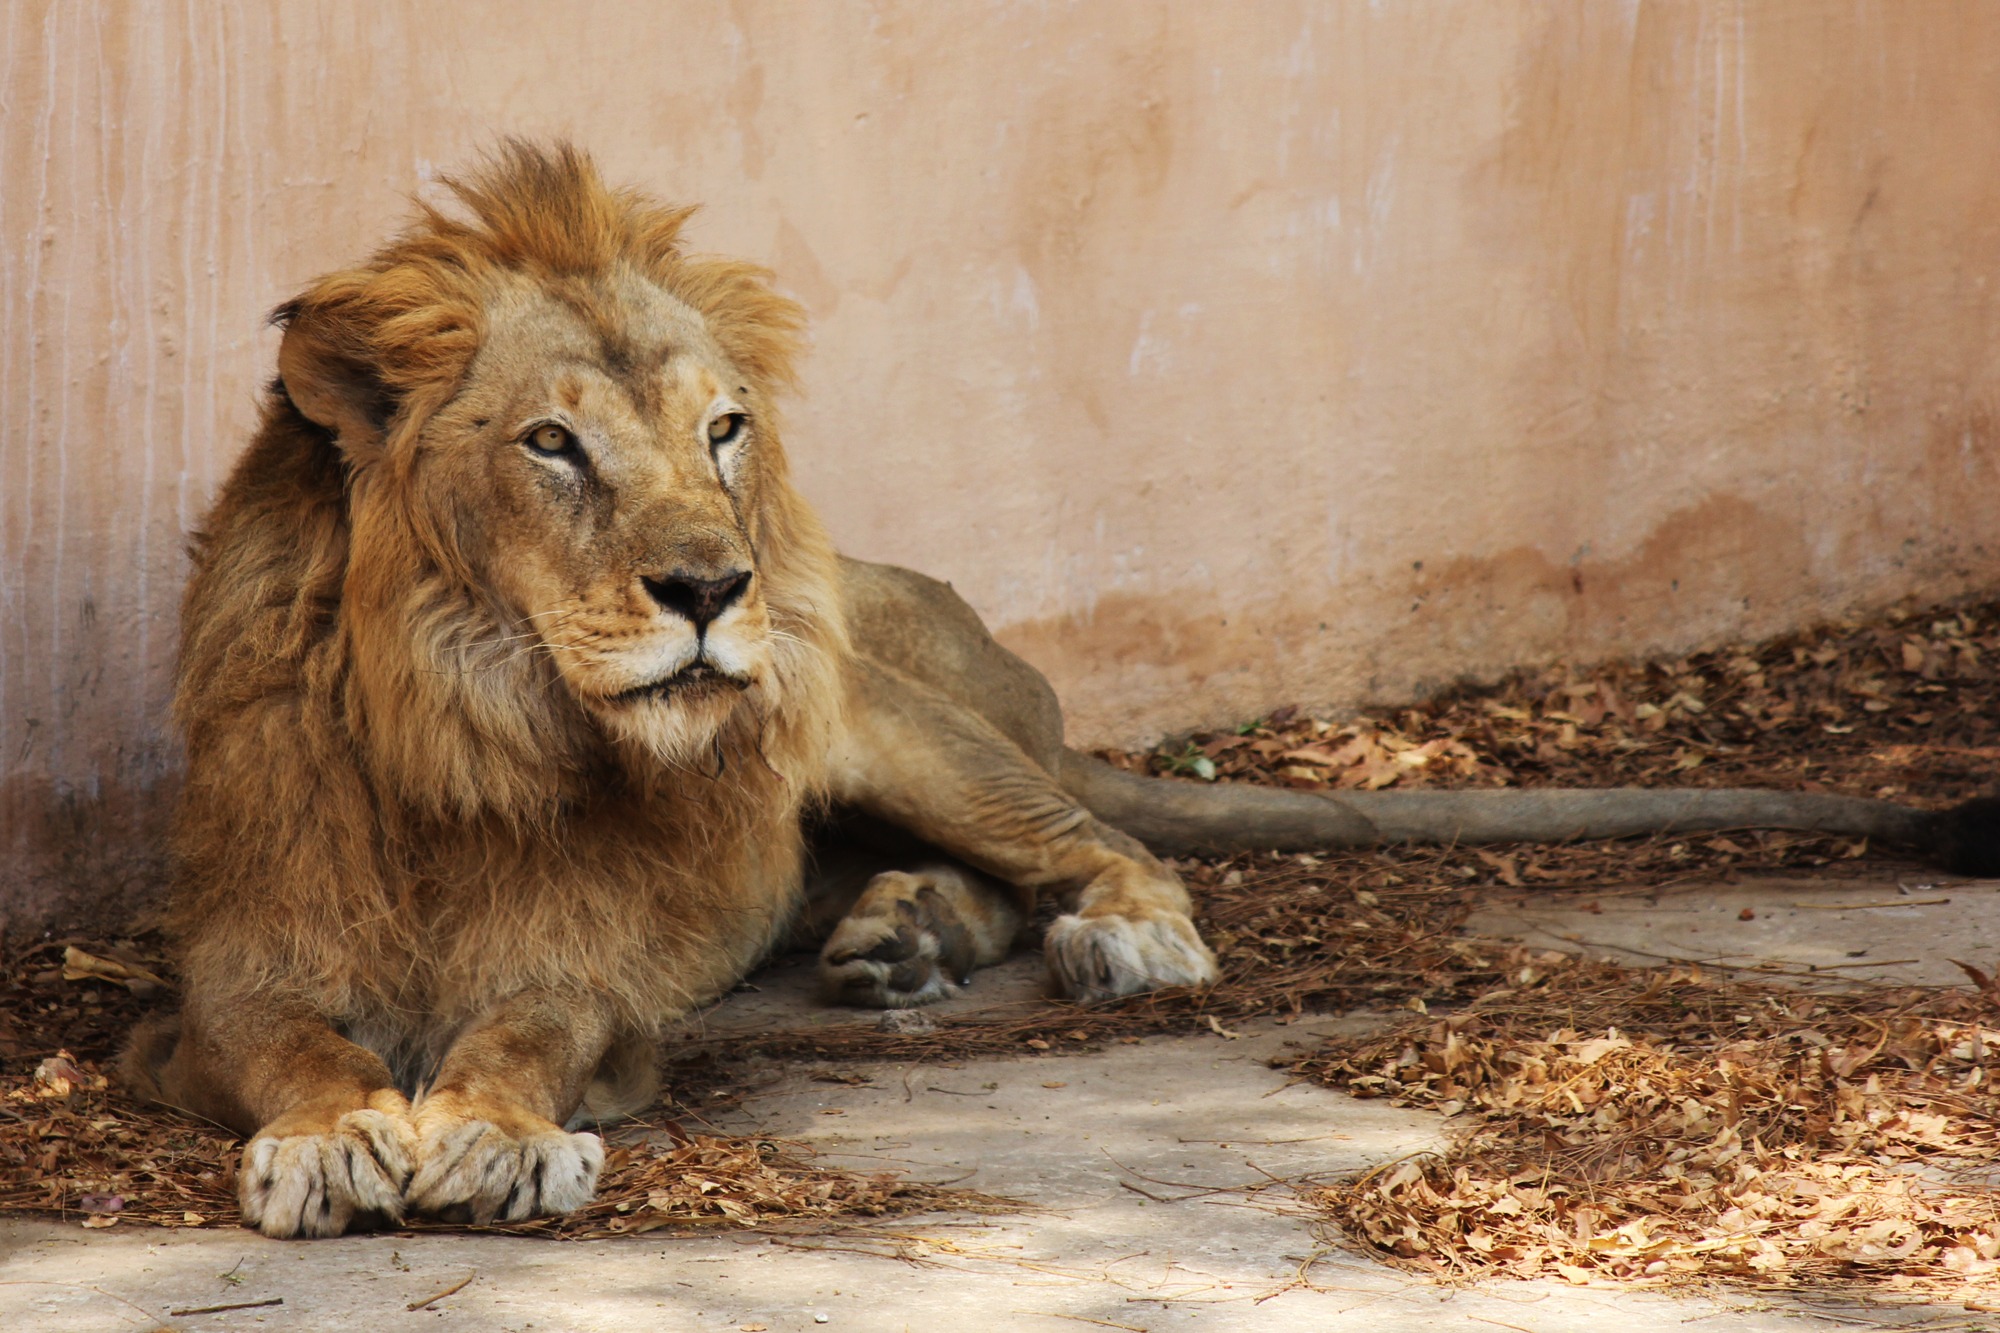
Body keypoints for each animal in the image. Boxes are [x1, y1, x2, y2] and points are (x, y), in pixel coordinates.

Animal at [129, 143, 1984, 1232]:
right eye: (552, 444)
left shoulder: (600, 974)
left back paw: (1106, 939)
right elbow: (295, 1042)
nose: (715, 588)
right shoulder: (235, 965)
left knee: (1094, 847)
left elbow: (529, 1027)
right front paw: (333, 1135)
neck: (476, 731)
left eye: (721, 430)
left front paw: (500, 1135)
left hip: (878, 711)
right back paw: (896, 939)